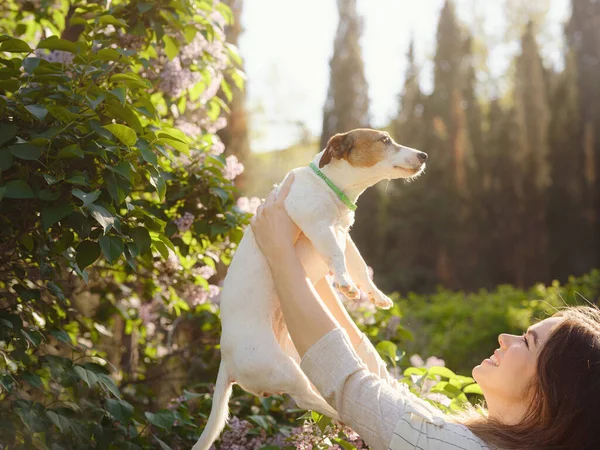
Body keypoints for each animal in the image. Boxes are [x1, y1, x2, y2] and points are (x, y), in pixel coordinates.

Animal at [192, 128, 426, 448]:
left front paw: (375, 294)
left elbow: (359, 265)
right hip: (284, 368)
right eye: (384, 141)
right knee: (306, 399)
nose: (424, 155)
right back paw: (339, 413)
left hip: (297, 357)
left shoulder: (343, 235)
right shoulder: (319, 227)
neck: (330, 187)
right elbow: (338, 257)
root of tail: (226, 360)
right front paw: (345, 284)